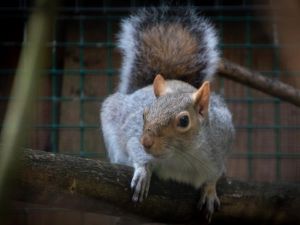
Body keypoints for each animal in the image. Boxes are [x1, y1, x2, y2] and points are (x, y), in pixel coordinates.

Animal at [101, 6, 234, 221]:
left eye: (184, 121)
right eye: (144, 114)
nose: (146, 141)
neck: (181, 156)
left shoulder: (220, 146)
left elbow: (213, 176)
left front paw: (210, 190)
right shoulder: (134, 135)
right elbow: (134, 146)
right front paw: (143, 171)